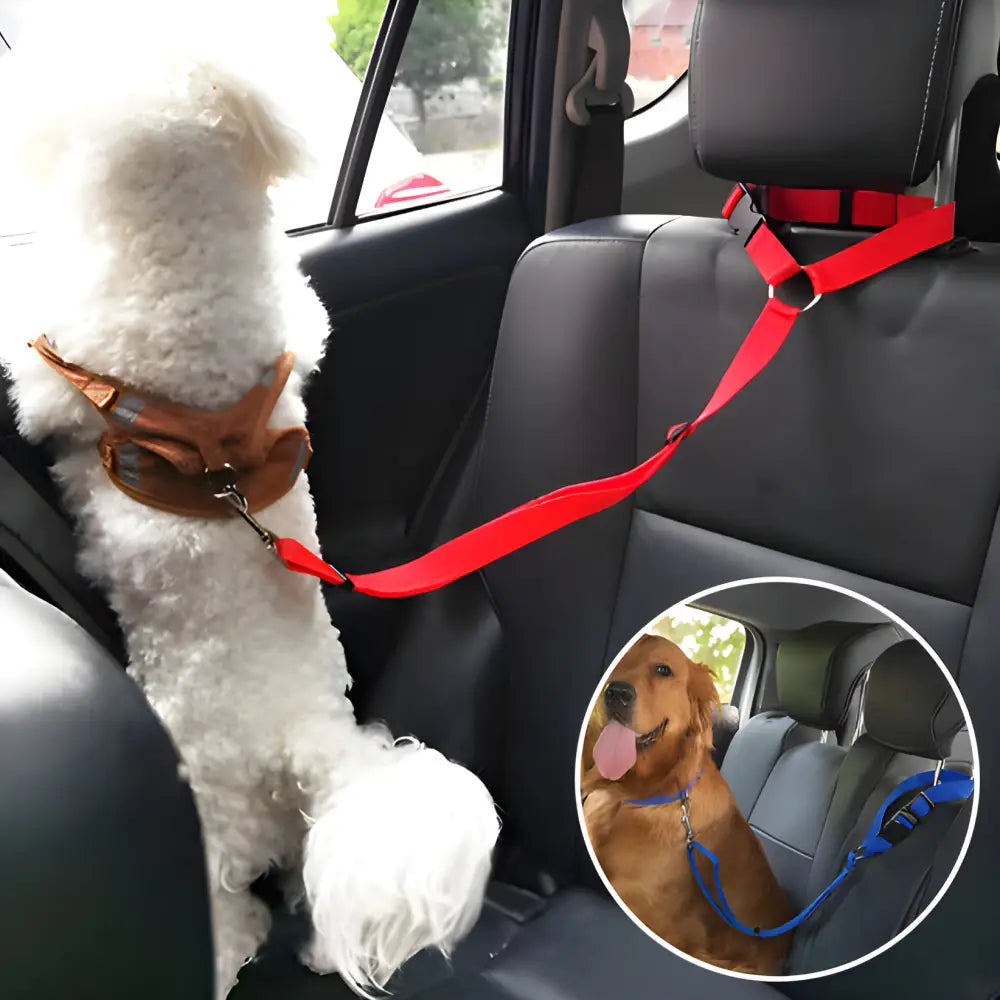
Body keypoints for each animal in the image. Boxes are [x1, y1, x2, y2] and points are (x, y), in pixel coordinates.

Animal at [0, 3, 500, 996]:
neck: (181, 234)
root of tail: (299, 741)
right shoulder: (296, 328)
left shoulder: (55, 369)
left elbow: (28, 359)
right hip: (306, 825)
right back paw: (319, 947)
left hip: (212, 827)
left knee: (230, 910)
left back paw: (227, 956)